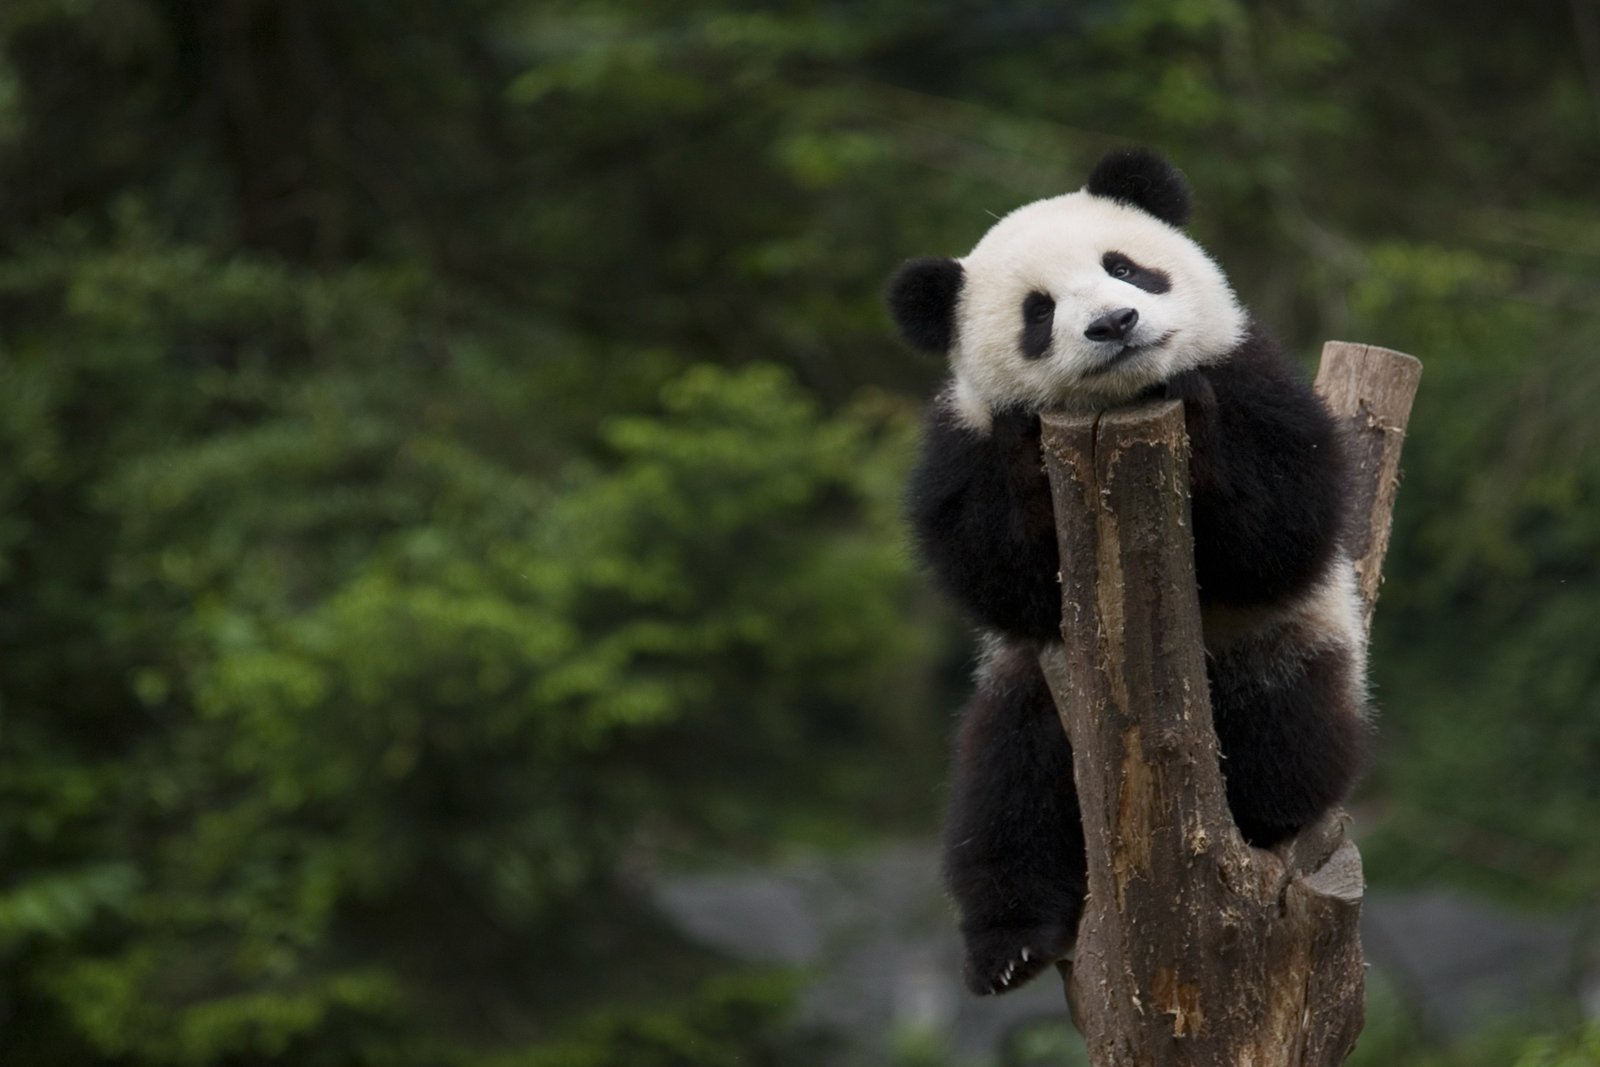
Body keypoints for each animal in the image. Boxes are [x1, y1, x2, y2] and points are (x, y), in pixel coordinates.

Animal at [887, 148, 1369, 997]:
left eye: (1125, 267)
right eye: (1038, 311)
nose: (1114, 324)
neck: (1119, 403)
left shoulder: (1254, 375)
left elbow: (1284, 524)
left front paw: (1195, 415)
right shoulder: (964, 444)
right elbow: (996, 575)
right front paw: (1026, 461)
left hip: (1288, 649)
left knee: (1284, 731)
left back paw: (1256, 814)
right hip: (1035, 692)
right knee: (1007, 791)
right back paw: (1010, 944)